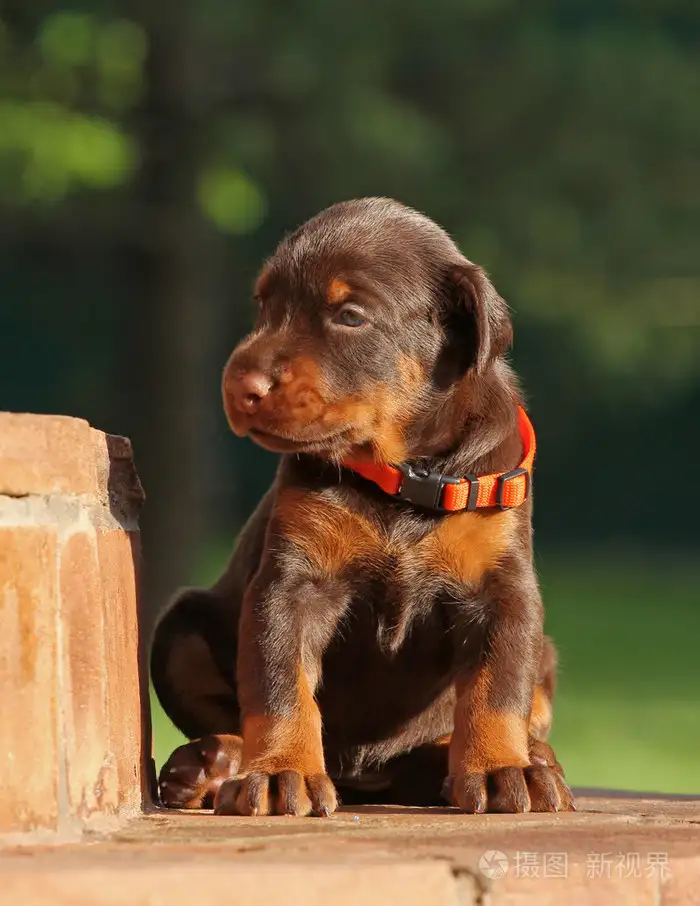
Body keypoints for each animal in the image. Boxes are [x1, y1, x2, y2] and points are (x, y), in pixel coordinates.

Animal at [150, 198, 572, 820]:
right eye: (264, 305)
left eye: (350, 316)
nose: (240, 386)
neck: (405, 476)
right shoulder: (292, 583)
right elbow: (280, 688)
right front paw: (281, 772)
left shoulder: (501, 589)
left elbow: (497, 688)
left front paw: (501, 767)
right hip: (179, 628)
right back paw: (213, 764)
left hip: (543, 654)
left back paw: (526, 759)